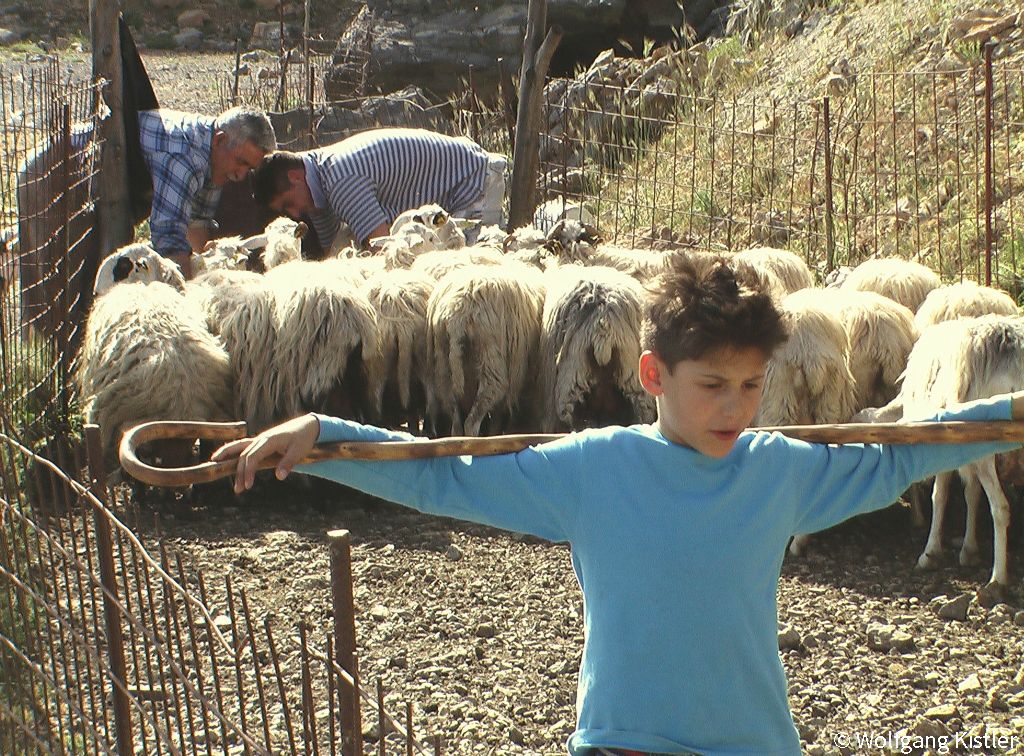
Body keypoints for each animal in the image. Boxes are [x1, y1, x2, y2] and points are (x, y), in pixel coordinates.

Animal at [425, 260, 544, 432]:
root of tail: (457, 312)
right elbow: (498, 416)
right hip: (491, 361)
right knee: (474, 417)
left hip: (443, 361)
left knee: (455, 419)